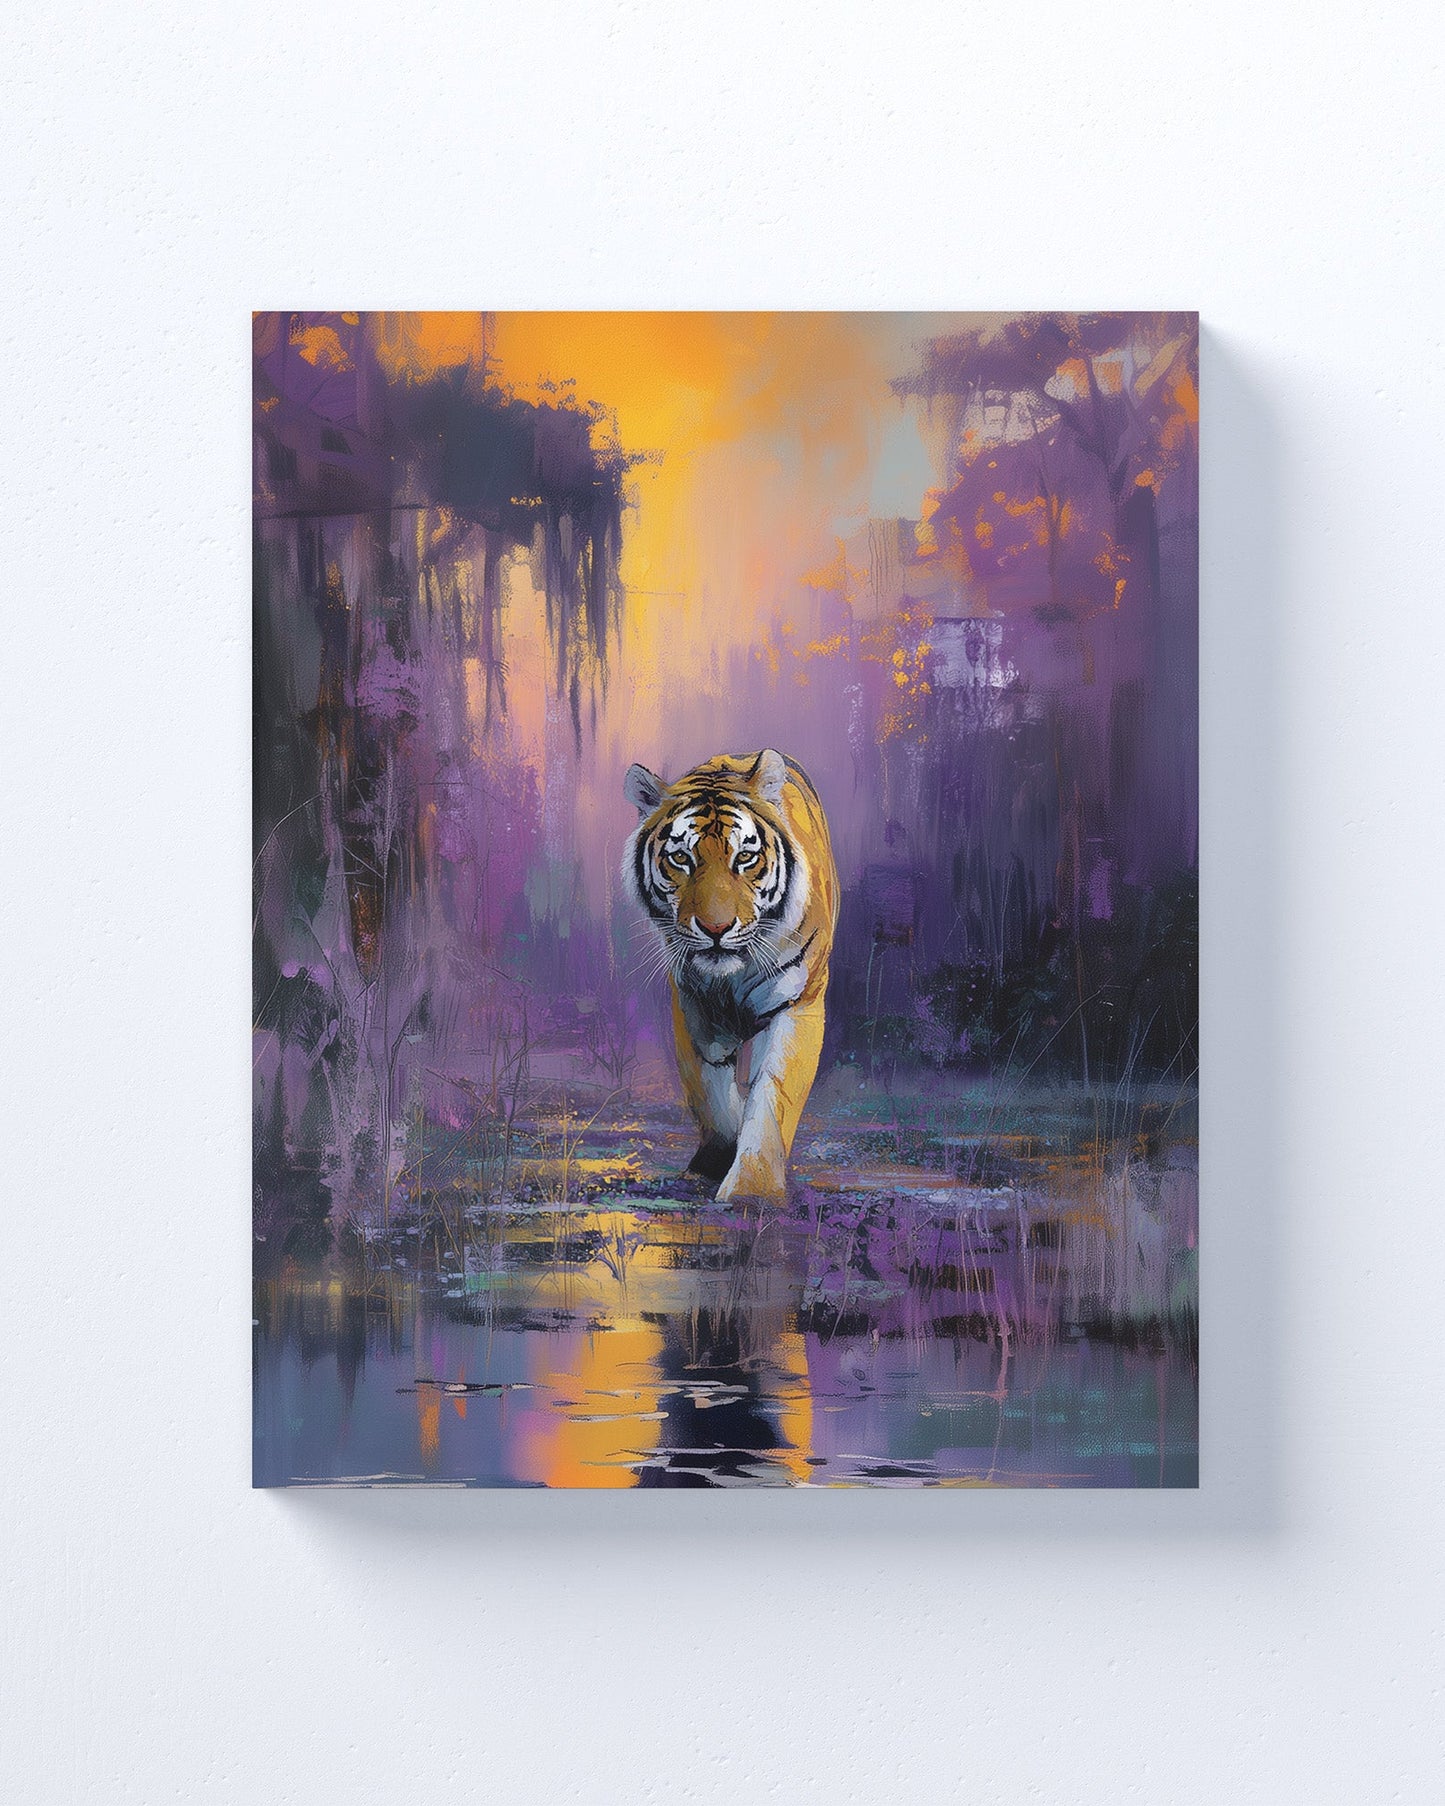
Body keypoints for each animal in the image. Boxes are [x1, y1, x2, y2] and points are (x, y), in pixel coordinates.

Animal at [621, 748, 838, 1203]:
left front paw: (752, 1191)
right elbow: (711, 1094)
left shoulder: (797, 1004)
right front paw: (713, 1164)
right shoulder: (692, 1007)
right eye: (681, 859)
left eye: (745, 858)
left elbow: (771, 1096)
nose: (716, 928)